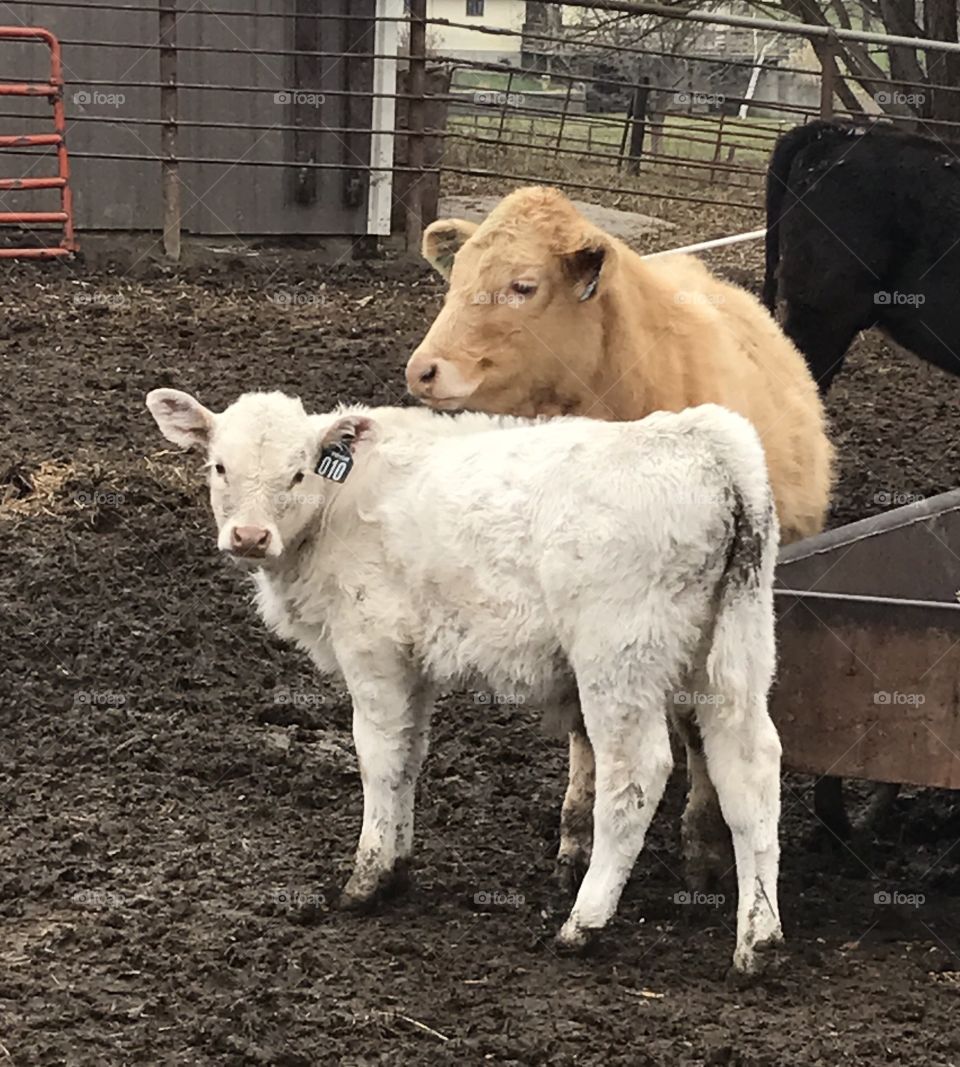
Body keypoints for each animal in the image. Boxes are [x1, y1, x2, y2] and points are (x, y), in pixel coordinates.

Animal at [146, 387, 783, 975]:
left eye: (298, 471)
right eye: (219, 467)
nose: (249, 536)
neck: (339, 505)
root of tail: (703, 439)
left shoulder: (373, 650)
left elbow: (379, 758)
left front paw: (366, 878)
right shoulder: (414, 663)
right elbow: (410, 756)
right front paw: (398, 866)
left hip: (620, 656)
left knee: (636, 776)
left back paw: (584, 922)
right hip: (733, 649)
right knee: (749, 768)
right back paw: (758, 938)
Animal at [405, 185, 833, 888]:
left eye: (523, 285)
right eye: (456, 277)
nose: (424, 371)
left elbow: (696, 730)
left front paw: (703, 842)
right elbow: (585, 726)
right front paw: (577, 833)